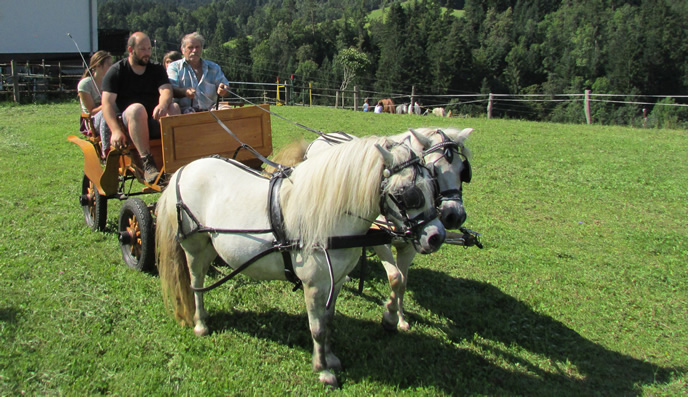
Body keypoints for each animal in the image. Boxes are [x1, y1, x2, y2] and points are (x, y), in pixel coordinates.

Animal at [156, 135, 446, 386]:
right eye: (409, 194)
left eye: (434, 186)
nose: (436, 237)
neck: (330, 216)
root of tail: (183, 170)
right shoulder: (314, 285)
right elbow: (316, 327)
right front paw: (323, 370)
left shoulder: (337, 281)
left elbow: (328, 322)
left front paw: (330, 357)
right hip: (194, 248)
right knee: (196, 283)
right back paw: (200, 323)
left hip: (209, 247)